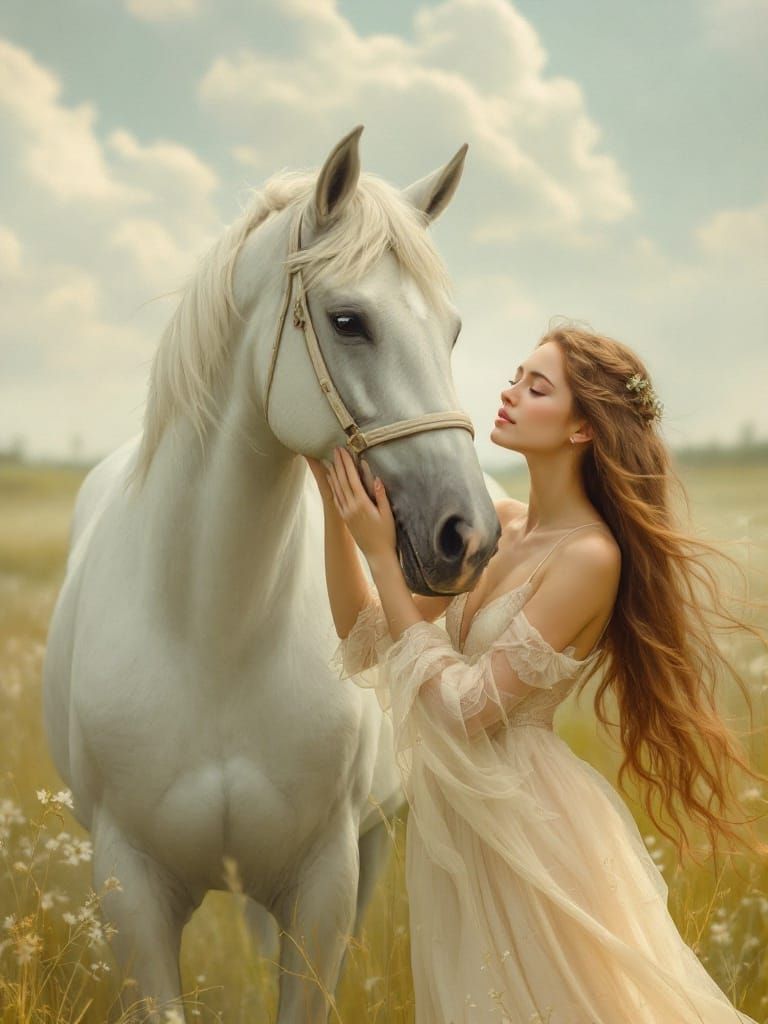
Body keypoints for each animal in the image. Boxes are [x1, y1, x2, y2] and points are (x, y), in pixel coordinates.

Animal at [42, 125, 502, 1021]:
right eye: (349, 320)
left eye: (454, 331)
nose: (468, 535)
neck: (212, 633)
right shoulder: (129, 894)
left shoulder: (325, 883)